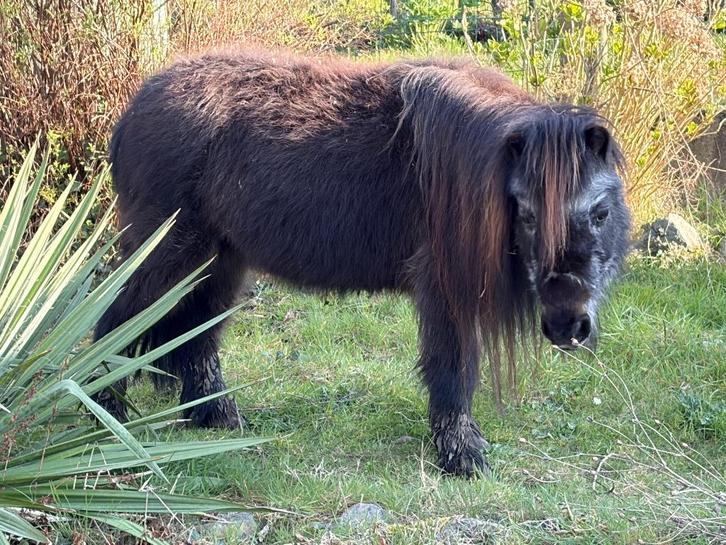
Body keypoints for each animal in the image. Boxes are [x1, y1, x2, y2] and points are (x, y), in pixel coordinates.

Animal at [95, 49, 631, 477]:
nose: (567, 326)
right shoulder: (446, 289)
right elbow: (454, 367)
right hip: (165, 252)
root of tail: (135, 110)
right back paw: (106, 416)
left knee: (197, 334)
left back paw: (217, 417)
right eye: (527, 214)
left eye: (600, 212)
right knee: (118, 322)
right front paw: (462, 456)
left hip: (218, 262)